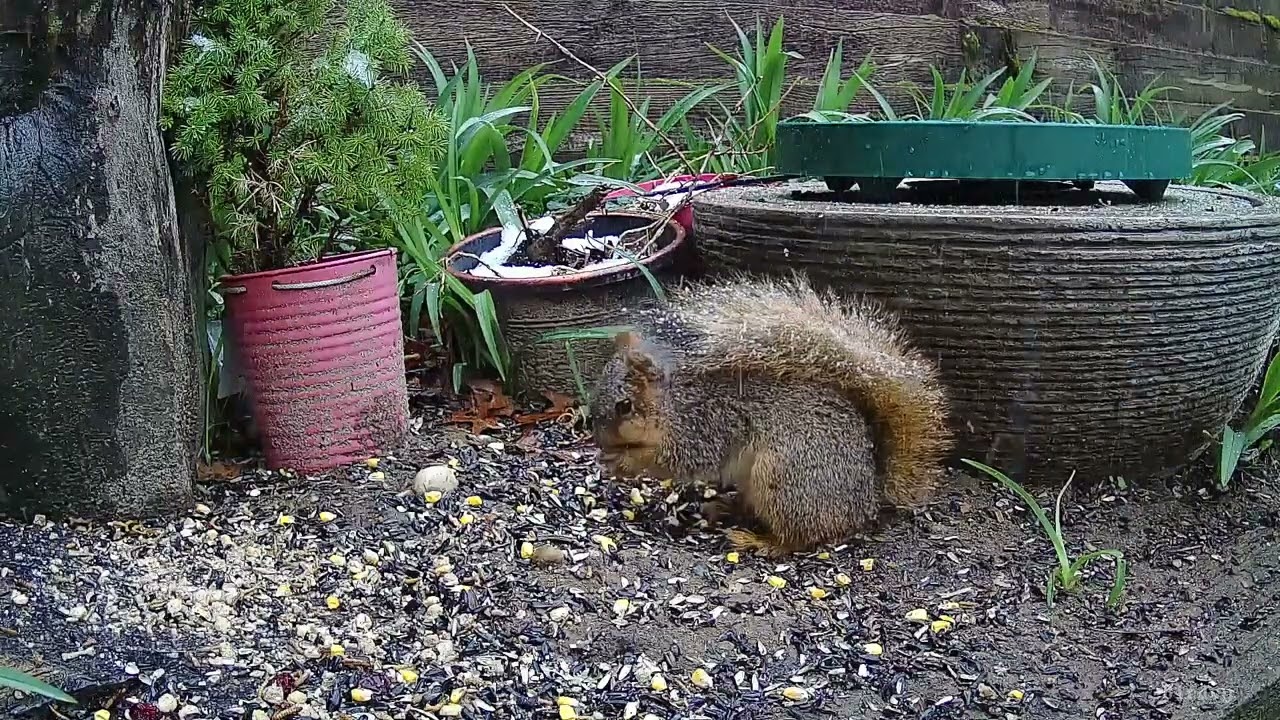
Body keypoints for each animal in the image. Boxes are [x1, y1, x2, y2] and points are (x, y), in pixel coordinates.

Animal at [589, 272, 952, 557]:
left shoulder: (707, 424)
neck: (672, 401)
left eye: (624, 406)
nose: (598, 441)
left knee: (798, 539)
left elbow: (676, 459)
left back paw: (759, 541)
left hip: (785, 480)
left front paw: (623, 461)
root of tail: (867, 502)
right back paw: (726, 507)